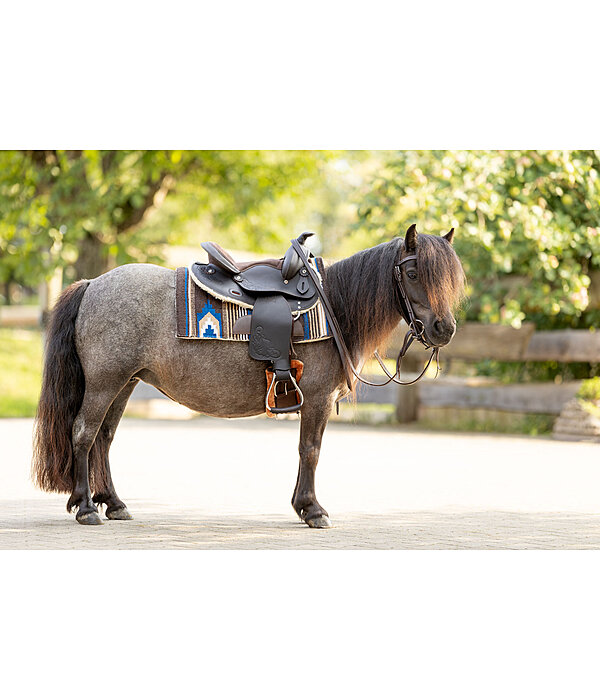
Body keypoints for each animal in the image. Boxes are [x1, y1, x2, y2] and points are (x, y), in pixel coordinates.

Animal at [32, 224, 465, 528]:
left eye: (450, 278)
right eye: (413, 273)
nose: (444, 329)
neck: (335, 306)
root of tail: (92, 284)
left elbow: (306, 451)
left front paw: (302, 506)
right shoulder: (318, 399)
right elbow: (311, 450)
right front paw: (312, 509)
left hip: (125, 382)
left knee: (104, 438)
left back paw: (114, 503)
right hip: (105, 382)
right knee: (84, 434)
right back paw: (86, 507)